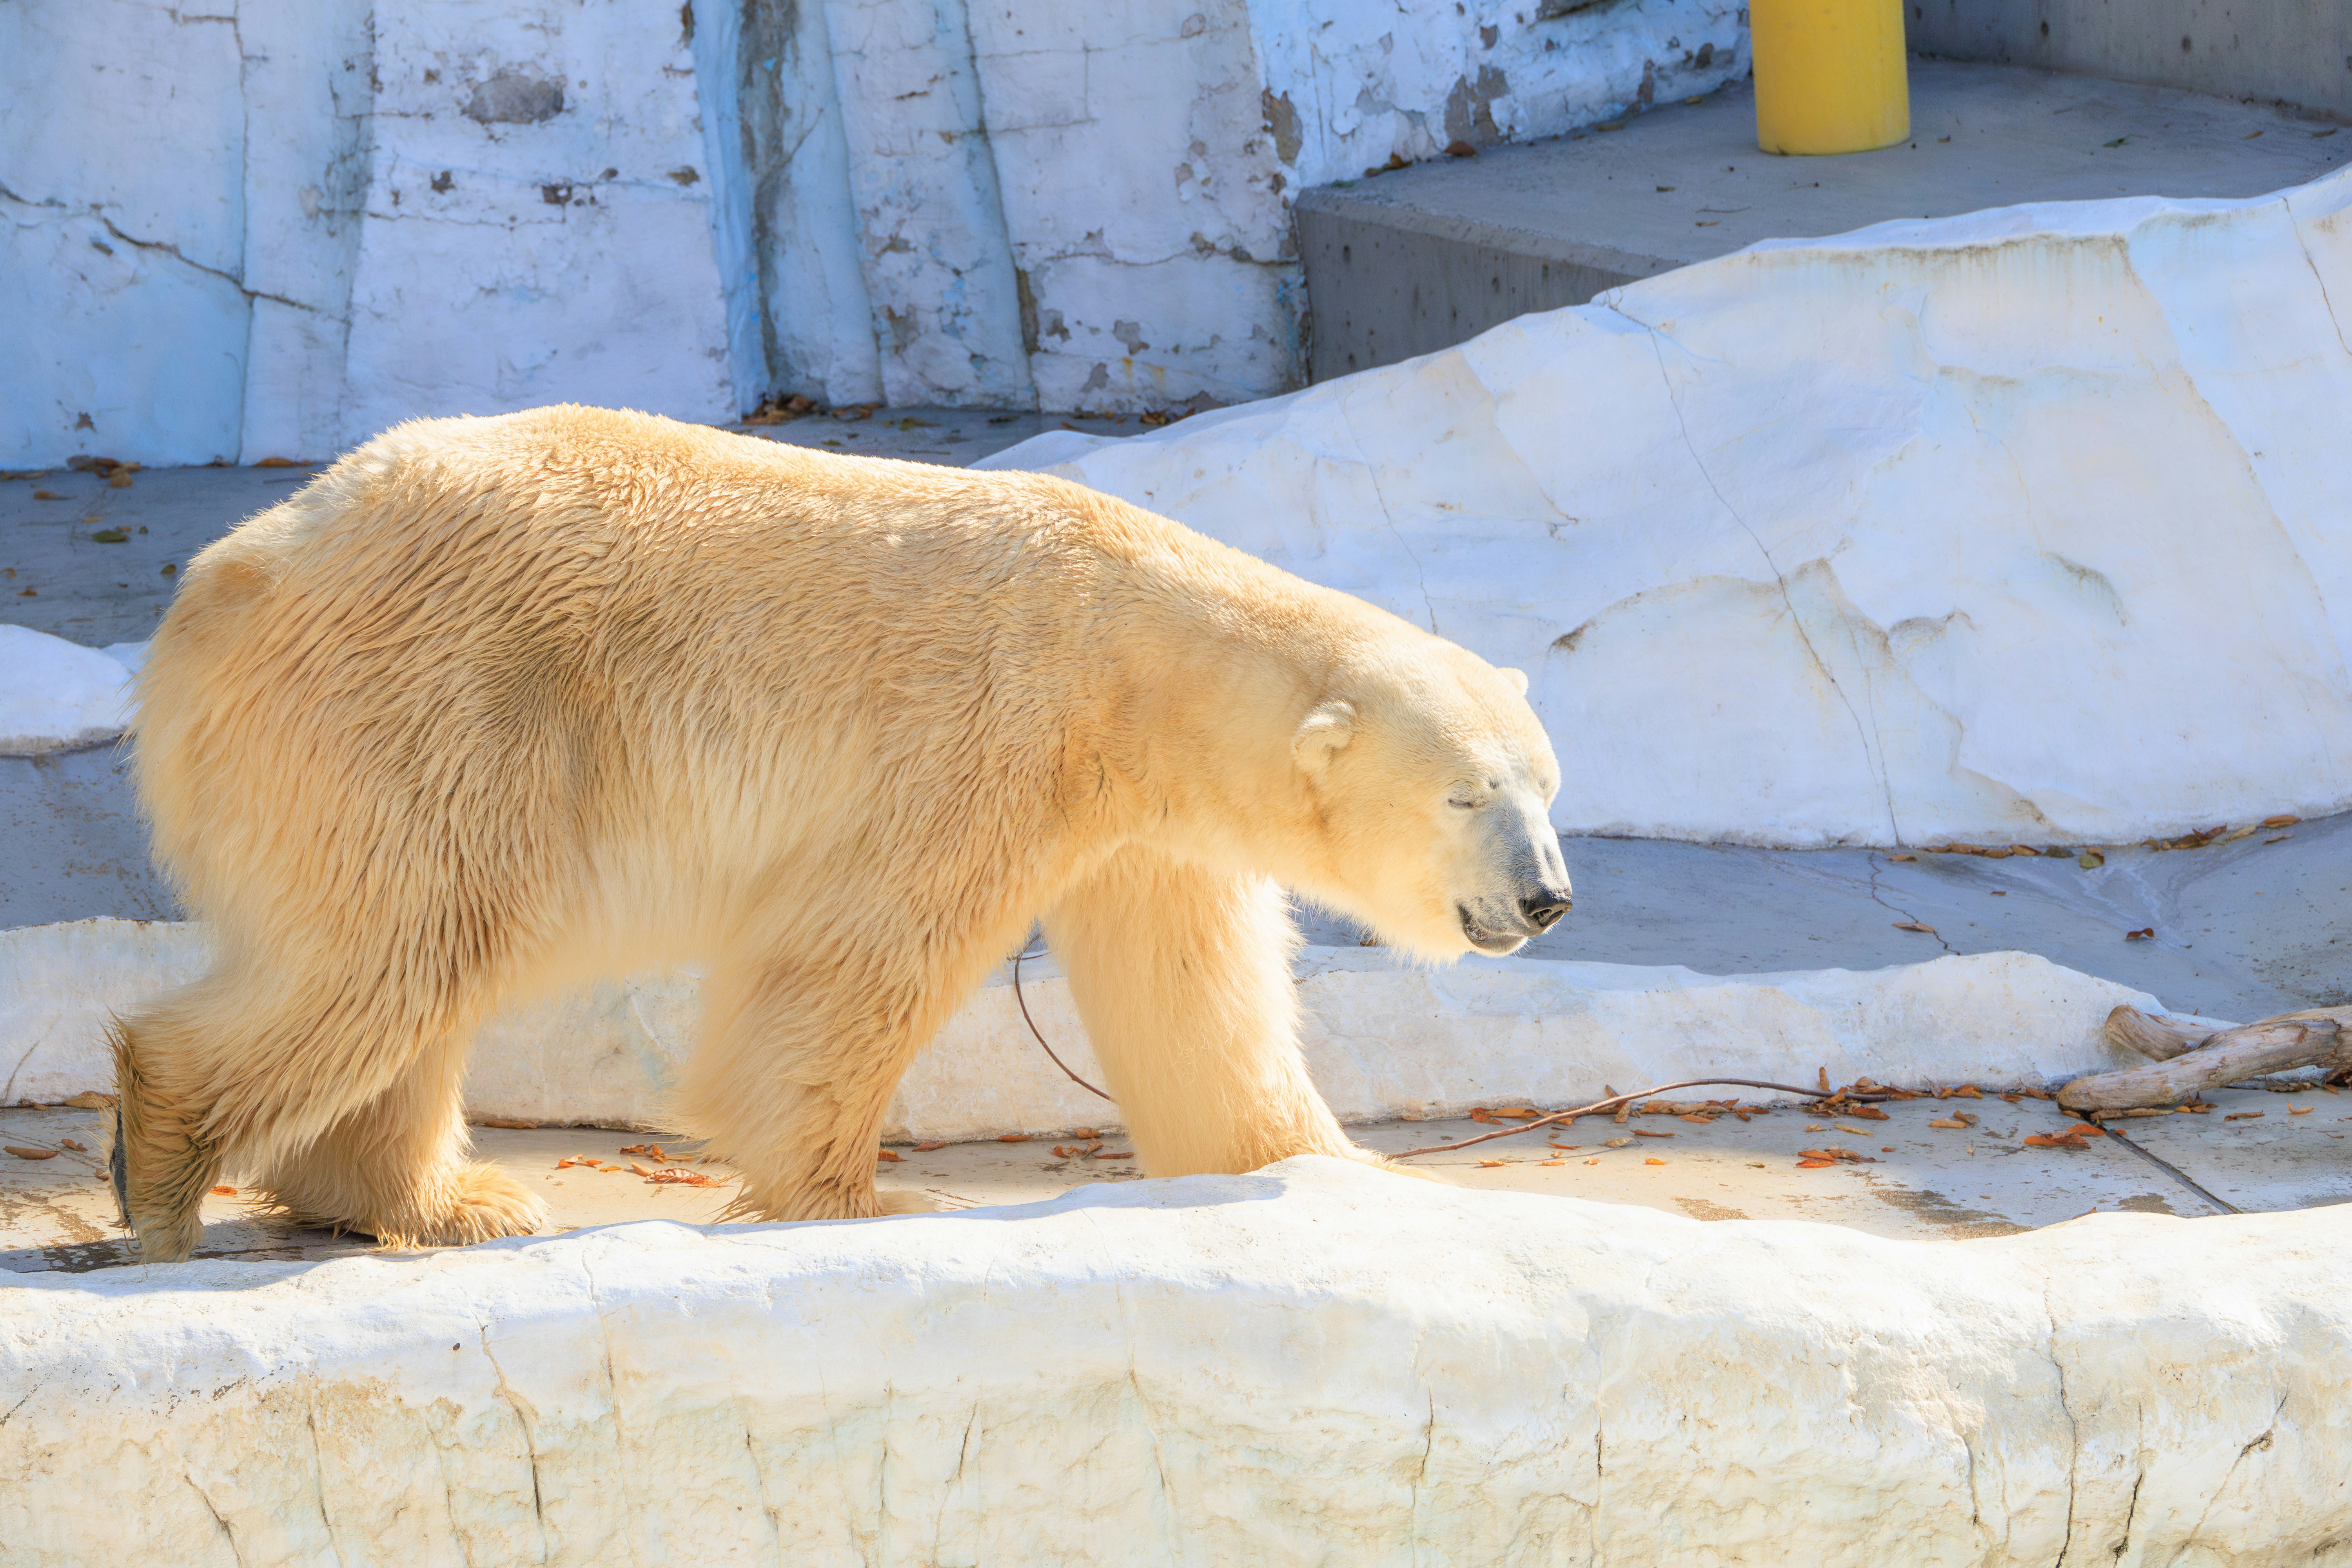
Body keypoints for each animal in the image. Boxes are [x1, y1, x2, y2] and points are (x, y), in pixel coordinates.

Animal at [112, 405, 1572, 1262]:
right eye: (1466, 794)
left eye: (1546, 785)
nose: (1545, 896)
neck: (1132, 653)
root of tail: (226, 581)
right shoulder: (986, 740)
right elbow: (853, 960)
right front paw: (870, 1200)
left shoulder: (1143, 826)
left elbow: (1191, 993)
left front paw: (1326, 1169)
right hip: (433, 705)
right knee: (391, 947)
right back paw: (165, 1168)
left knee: (413, 968)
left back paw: (440, 1201)